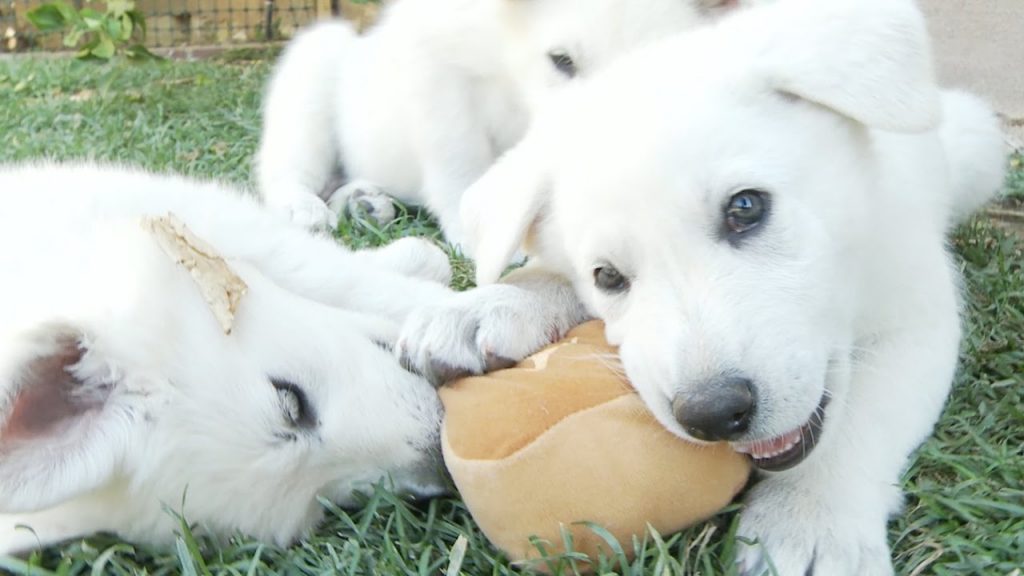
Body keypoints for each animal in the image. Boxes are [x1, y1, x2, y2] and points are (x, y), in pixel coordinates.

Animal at [251, 0, 741, 239]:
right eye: (560, 60)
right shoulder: (437, 72)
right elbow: (459, 161)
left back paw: (365, 202)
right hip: (316, 61)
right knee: (284, 171)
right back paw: (302, 207)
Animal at [397, 0, 1007, 569]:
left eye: (746, 207)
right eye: (607, 276)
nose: (714, 414)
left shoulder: (919, 318)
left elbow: (861, 419)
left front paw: (810, 518)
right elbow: (546, 271)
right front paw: (491, 304)